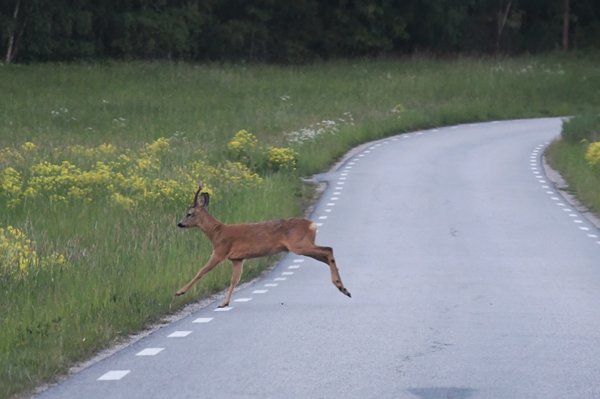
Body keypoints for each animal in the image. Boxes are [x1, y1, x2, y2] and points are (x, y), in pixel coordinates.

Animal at [175, 183, 352, 308]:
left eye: (189, 213)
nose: (179, 224)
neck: (216, 232)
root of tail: (312, 224)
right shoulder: (237, 259)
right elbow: (234, 281)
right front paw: (224, 303)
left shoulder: (220, 251)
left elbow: (201, 271)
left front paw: (180, 291)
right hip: (303, 245)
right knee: (327, 254)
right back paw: (343, 288)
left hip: (299, 245)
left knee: (328, 249)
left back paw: (341, 287)